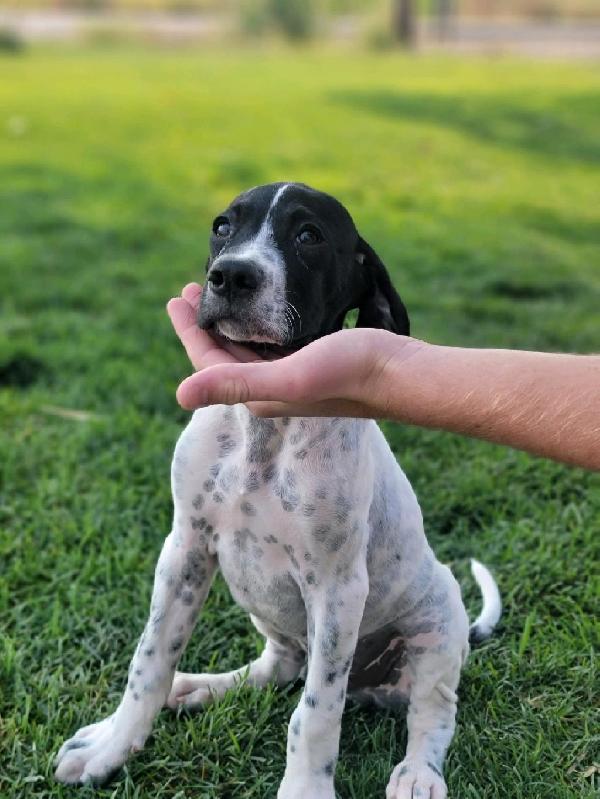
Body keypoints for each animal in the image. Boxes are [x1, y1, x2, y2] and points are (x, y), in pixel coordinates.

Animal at [55, 183, 502, 799]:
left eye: (308, 236)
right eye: (223, 226)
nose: (230, 276)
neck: (264, 434)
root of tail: (371, 686)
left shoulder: (337, 591)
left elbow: (314, 715)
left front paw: (306, 789)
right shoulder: (185, 548)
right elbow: (149, 661)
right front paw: (111, 748)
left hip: (435, 623)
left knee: (433, 712)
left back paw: (417, 775)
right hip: (270, 615)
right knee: (279, 667)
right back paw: (202, 686)